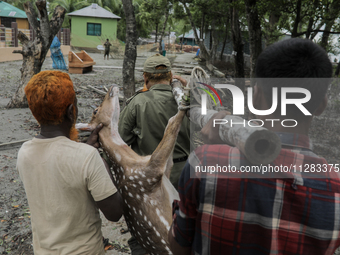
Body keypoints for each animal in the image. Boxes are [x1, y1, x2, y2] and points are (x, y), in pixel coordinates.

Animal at [76, 86, 186, 255]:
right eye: (95, 110)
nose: (112, 88)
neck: (133, 161)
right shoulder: (150, 173)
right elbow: (171, 125)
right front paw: (184, 103)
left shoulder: (165, 170)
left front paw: (178, 90)